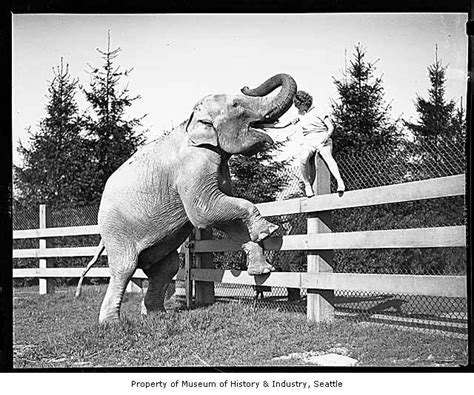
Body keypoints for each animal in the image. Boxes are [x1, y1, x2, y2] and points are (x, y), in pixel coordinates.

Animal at [74, 72, 296, 324]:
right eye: (236, 105)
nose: (246, 85)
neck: (191, 121)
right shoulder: (193, 166)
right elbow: (204, 213)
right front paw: (270, 230)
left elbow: (228, 221)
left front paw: (263, 269)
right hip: (117, 230)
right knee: (124, 268)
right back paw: (112, 324)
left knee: (166, 269)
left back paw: (156, 315)